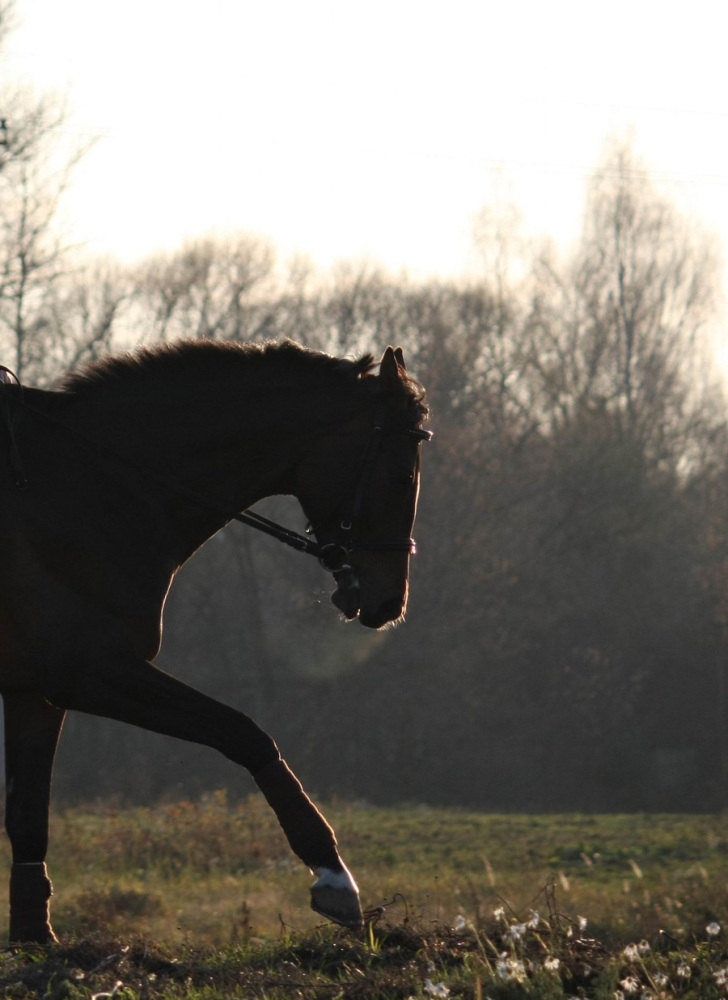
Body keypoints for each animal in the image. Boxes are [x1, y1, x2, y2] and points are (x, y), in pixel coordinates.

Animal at [0, 340, 430, 940]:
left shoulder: (34, 690)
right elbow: (244, 733)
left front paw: (34, 939)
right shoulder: (89, 670)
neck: (93, 485)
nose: (390, 603)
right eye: (403, 466)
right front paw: (333, 876)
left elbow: (28, 816)